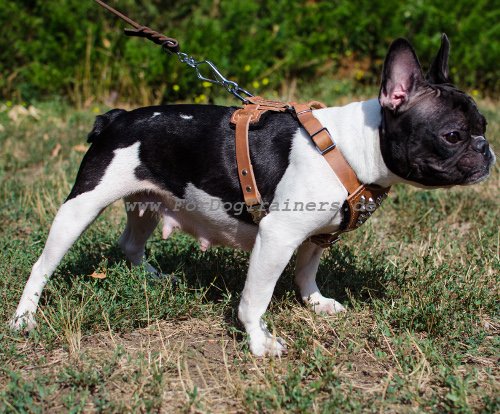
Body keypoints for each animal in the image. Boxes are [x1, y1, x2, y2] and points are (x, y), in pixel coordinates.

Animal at [9, 35, 494, 356]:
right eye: (453, 135)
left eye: (483, 126)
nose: (487, 149)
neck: (353, 147)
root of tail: (117, 117)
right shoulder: (278, 236)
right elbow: (255, 298)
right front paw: (259, 341)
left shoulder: (316, 234)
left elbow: (307, 271)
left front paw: (314, 302)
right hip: (82, 205)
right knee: (43, 265)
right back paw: (24, 318)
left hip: (148, 200)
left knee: (131, 242)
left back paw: (155, 277)